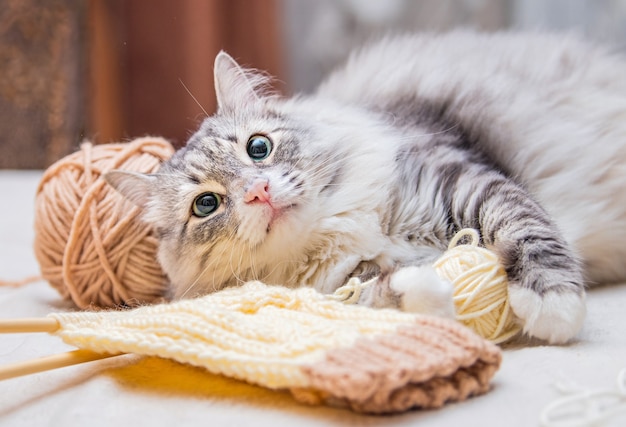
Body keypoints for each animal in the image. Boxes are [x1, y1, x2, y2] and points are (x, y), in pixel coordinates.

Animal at [105, 30, 624, 344]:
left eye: (258, 148)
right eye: (206, 204)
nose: (259, 192)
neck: (337, 231)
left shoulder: (460, 178)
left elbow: (526, 228)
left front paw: (553, 306)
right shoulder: (341, 285)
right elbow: (377, 297)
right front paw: (428, 294)